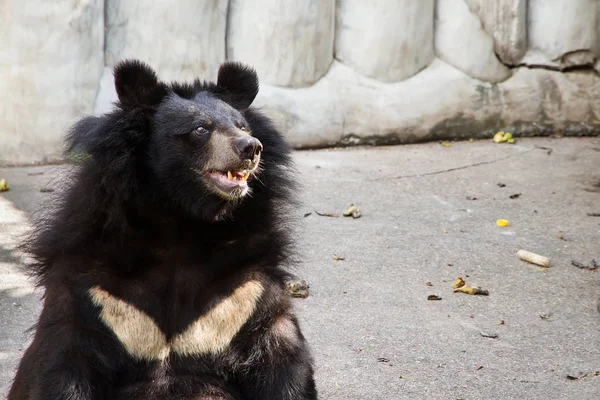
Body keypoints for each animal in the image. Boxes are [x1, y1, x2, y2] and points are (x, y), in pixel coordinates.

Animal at [8, 59, 318, 400]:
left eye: (242, 126)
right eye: (200, 129)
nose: (250, 148)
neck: (181, 225)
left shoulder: (245, 294)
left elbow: (282, 359)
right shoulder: (92, 294)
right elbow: (62, 362)